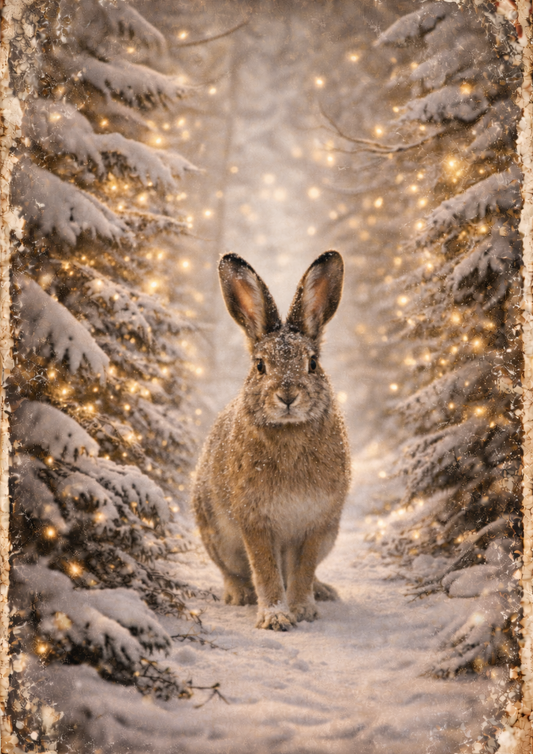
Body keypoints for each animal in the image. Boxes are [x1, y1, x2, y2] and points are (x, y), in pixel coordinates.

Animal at [192, 250, 351, 631]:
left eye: (313, 363)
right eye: (260, 366)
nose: (288, 396)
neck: (289, 430)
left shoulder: (315, 523)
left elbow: (303, 569)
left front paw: (303, 609)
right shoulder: (256, 522)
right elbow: (265, 570)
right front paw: (276, 617)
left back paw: (324, 591)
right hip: (218, 537)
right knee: (232, 571)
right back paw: (239, 595)